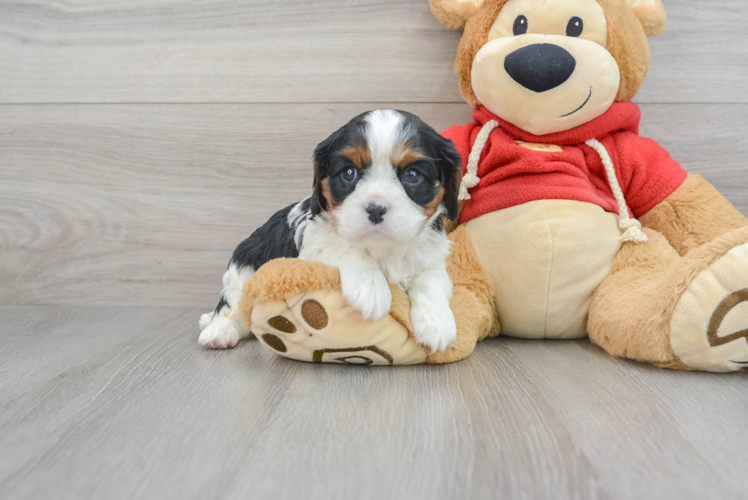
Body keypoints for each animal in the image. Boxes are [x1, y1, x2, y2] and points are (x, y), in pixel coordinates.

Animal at [199, 109, 462, 352]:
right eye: (349, 173)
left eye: (413, 175)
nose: (376, 209)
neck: (382, 246)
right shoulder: (313, 242)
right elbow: (343, 247)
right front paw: (371, 288)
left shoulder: (431, 255)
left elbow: (430, 279)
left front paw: (437, 323)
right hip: (242, 270)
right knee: (234, 310)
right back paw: (220, 330)